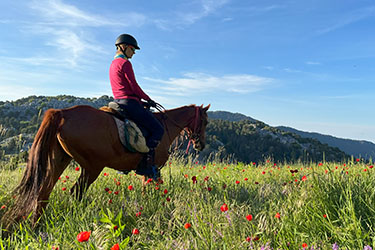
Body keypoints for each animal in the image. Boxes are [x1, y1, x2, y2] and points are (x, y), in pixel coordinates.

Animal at [1, 103, 210, 229]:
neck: (165, 127)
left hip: (60, 160)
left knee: (43, 192)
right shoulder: (155, 169)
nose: (201, 145)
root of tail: (62, 114)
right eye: (206, 122)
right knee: (76, 192)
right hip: (92, 167)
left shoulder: (150, 172)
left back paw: (37, 225)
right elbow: (154, 190)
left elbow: (146, 191)